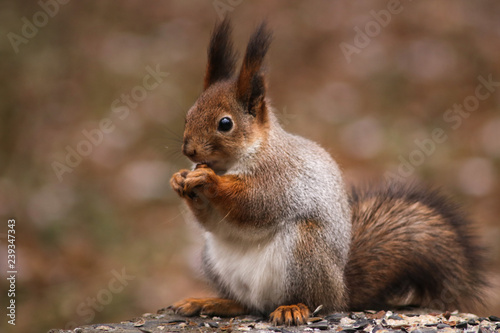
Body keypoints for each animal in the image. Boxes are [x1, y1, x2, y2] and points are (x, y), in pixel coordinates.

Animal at [168, 18, 484, 324]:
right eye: (188, 115)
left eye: (225, 124)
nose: (189, 150)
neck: (233, 161)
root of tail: (341, 291)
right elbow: (213, 222)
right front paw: (179, 180)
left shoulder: (280, 176)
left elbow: (254, 202)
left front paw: (207, 180)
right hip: (215, 261)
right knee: (246, 304)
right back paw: (212, 302)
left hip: (306, 251)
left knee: (312, 301)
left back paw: (293, 308)